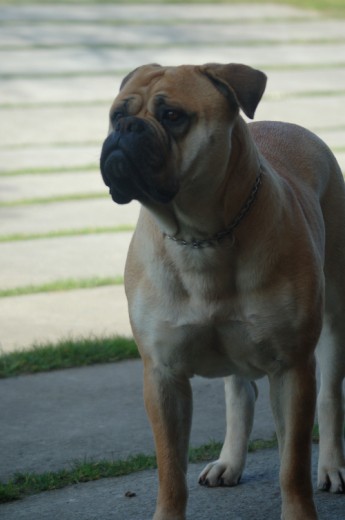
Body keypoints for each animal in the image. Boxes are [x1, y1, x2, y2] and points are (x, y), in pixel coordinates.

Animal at [99, 64, 344, 520]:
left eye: (173, 116)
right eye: (116, 114)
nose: (125, 128)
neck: (200, 235)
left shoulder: (292, 368)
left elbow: (293, 465)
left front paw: (298, 509)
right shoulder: (163, 375)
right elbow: (170, 470)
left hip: (335, 318)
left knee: (329, 397)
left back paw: (332, 466)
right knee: (240, 394)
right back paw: (229, 462)